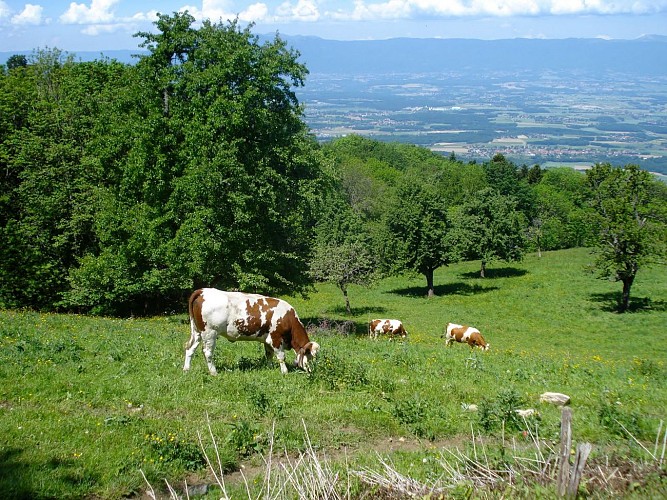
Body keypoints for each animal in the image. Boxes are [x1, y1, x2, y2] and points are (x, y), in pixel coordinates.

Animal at [181, 290, 320, 376]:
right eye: (309, 357)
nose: (312, 371)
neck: (289, 319)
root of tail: (203, 291)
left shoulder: (267, 339)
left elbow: (268, 354)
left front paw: (270, 368)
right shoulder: (276, 338)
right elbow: (281, 356)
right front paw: (284, 372)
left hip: (197, 332)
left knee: (190, 348)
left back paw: (186, 369)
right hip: (210, 332)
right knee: (207, 352)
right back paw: (214, 372)